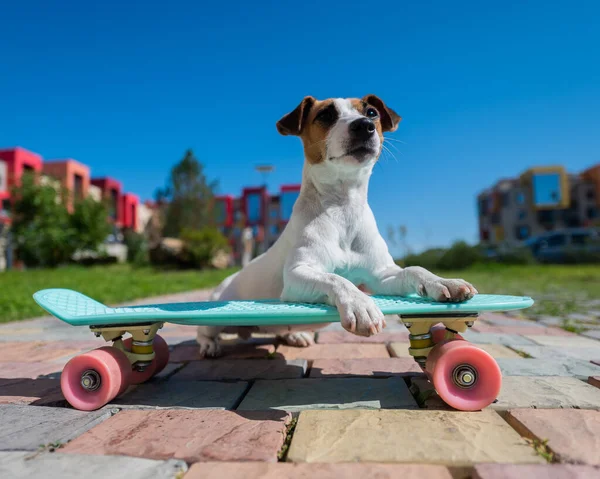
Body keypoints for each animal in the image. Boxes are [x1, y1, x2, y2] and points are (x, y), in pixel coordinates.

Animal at [197, 94, 478, 356]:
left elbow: (414, 269)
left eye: (372, 112)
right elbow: (336, 278)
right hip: (215, 312)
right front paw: (360, 305)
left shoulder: (382, 276)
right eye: (325, 115)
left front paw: (443, 282)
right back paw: (209, 345)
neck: (343, 206)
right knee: (205, 331)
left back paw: (295, 335)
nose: (364, 125)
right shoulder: (298, 274)